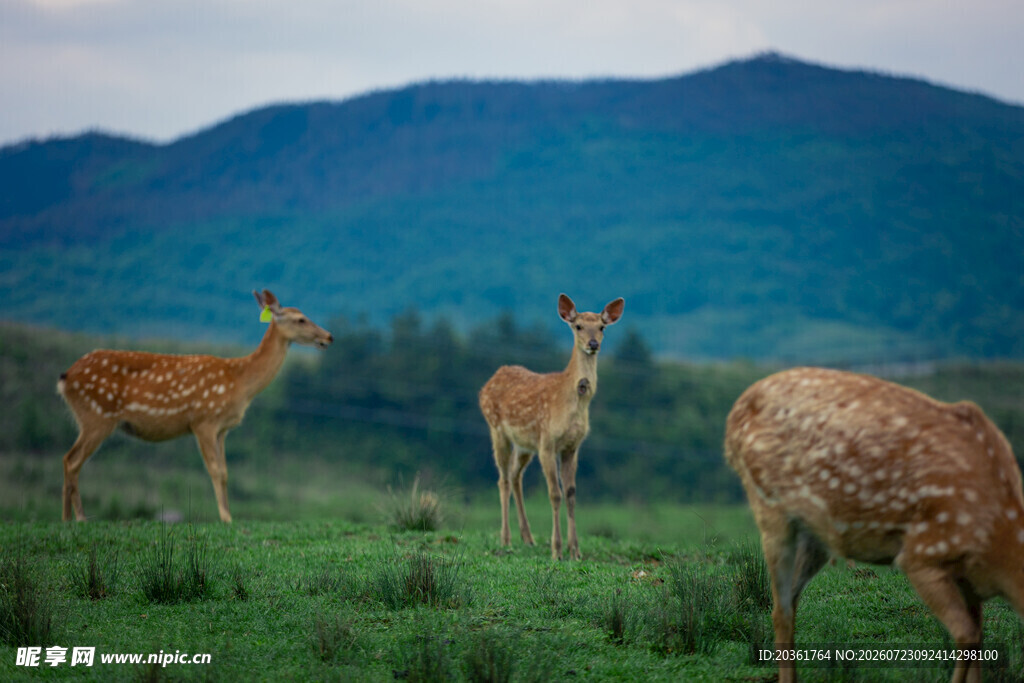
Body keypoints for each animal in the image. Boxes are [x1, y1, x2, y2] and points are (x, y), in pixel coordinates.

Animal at [58, 289, 333, 523]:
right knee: (72, 460)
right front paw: (226, 518)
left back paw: (67, 518)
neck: (239, 383)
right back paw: (78, 518)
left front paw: (229, 515)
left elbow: (225, 471)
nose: (329, 336)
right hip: (97, 414)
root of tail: (65, 378)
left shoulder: (222, 429)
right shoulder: (204, 420)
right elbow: (215, 470)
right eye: (301, 319)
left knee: (69, 459)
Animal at [479, 294, 624, 560]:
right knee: (503, 479)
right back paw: (506, 539)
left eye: (602, 327)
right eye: (578, 326)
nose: (593, 344)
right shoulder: (547, 442)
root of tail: (490, 380)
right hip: (497, 429)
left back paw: (528, 538)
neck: (572, 403)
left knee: (515, 476)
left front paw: (575, 550)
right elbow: (554, 494)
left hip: (525, 444)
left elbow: (571, 493)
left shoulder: (572, 447)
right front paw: (557, 550)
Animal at [724, 366, 1024, 683]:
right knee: (779, 609)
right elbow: (967, 635)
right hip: (769, 507)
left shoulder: (969, 579)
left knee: (790, 603)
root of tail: (733, 417)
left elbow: (978, 637)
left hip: (814, 535)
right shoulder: (923, 555)